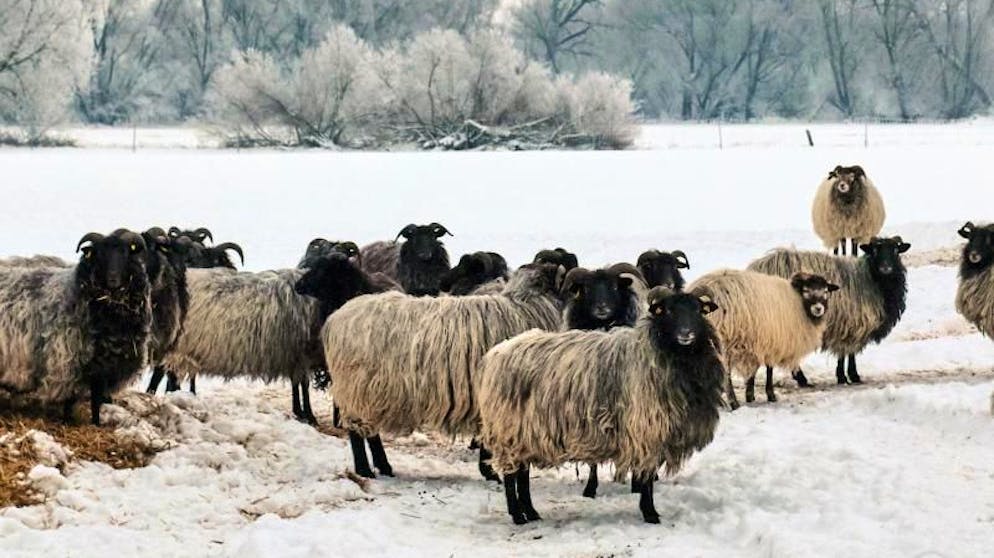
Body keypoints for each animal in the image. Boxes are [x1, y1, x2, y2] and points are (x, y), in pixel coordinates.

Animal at [0, 230, 151, 426]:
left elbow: (96, 401)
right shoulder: (67, 361)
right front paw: (67, 420)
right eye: (99, 254)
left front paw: (96, 423)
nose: (113, 279)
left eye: (125, 253)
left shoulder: (102, 370)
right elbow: (70, 399)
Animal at [322, 264, 560, 480]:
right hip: (356, 387)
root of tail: (334, 320)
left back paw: (384, 467)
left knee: (370, 433)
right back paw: (365, 470)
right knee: (357, 432)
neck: (524, 307)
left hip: (370, 391)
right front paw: (490, 473)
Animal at [476, 286, 724, 528]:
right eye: (669, 311)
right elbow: (646, 478)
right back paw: (518, 515)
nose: (686, 334)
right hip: (509, 429)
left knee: (522, 473)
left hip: (524, 432)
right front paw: (650, 513)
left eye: (698, 310)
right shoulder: (646, 430)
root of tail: (496, 354)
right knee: (512, 476)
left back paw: (531, 512)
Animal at [688, 270, 836, 410]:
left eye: (826, 291)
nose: (818, 308)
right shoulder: (771, 342)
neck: (798, 302)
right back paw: (733, 403)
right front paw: (770, 395)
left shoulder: (757, 342)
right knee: (725, 373)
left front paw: (750, 394)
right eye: (806, 290)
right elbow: (769, 370)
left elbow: (754, 370)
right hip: (723, 339)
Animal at [748, 236, 912, 390]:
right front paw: (847, 376)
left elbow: (847, 352)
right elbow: (846, 352)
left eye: (895, 250)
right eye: (875, 250)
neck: (870, 279)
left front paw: (849, 375)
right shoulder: (851, 322)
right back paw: (802, 379)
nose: (886, 268)